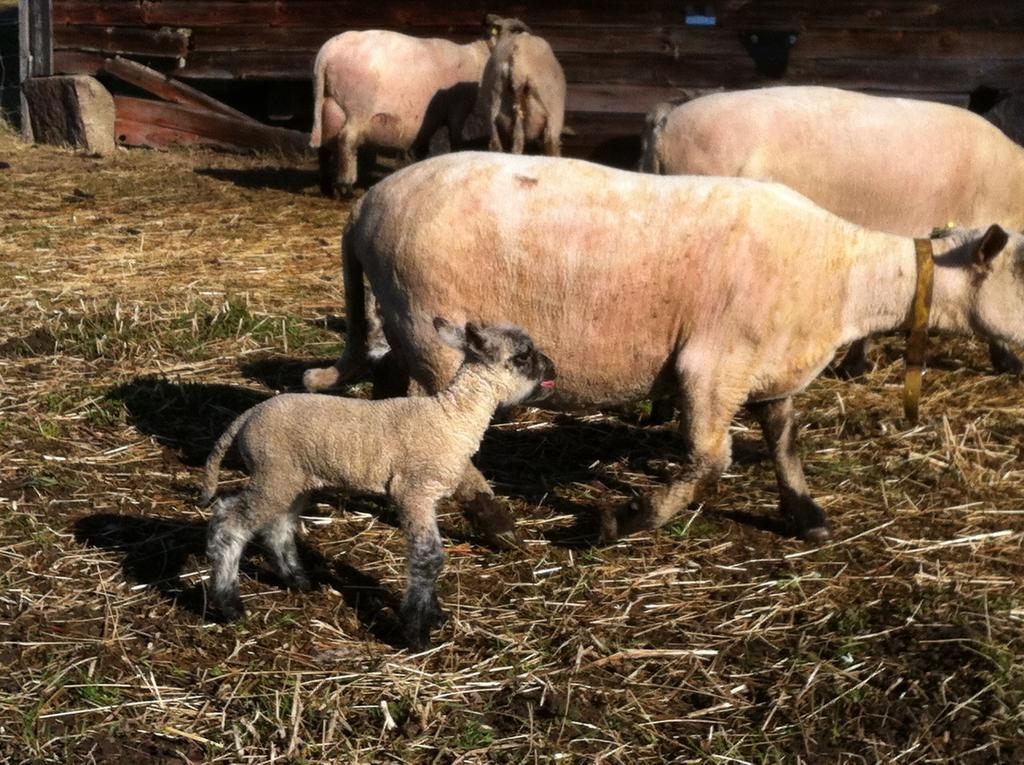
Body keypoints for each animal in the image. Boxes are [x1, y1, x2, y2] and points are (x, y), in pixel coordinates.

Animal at [196, 319, 557, 651]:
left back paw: (299, 581)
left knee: (278, 527)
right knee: (230, 522)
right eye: (523, 355)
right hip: (274, 474)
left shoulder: (427, 497)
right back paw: (230, 605)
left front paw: (434, 616)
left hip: (294, 479)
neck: (451, 418)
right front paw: (416, 633)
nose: (552, 366)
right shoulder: (413, 491)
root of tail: (248, 416)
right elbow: (429, 557)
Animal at [303, 151, 1024, 544]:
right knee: (444, 426)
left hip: (406, 327)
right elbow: (711, 461)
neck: (846, 277)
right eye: (1021, 272)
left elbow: (783, 437)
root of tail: (365, 207)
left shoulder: (772, 364)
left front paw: (805, 511)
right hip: (437, 334)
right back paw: (497, 522)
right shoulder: (713, 364)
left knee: (391, 394)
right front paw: (622, 520)